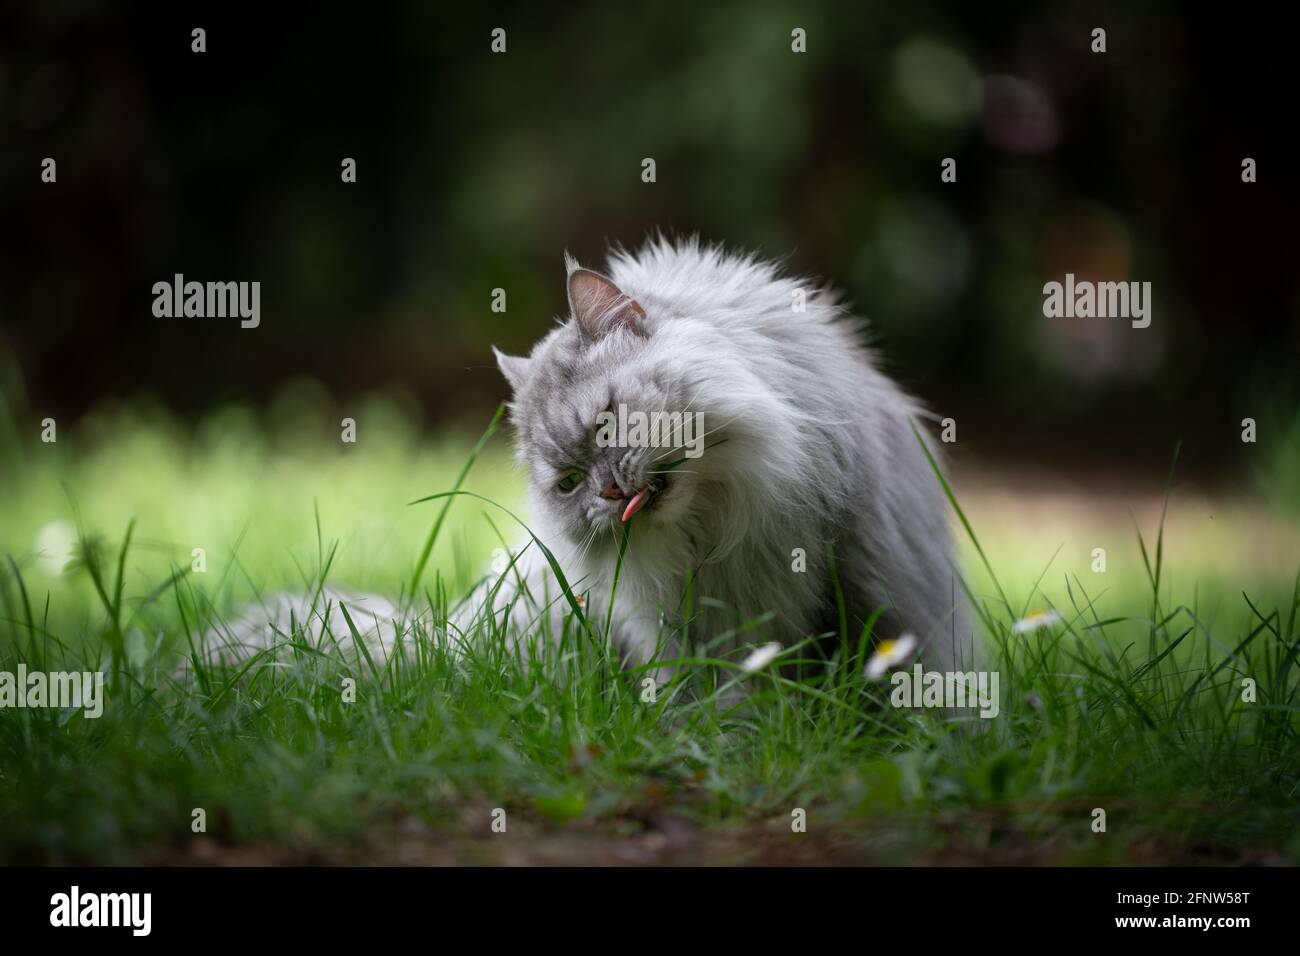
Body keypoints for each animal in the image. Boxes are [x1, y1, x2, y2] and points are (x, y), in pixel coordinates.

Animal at [202, 235, 972, 676]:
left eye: (605, 428)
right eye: (569, 483)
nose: (608, 494)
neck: (725, 526)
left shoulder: (874, 582)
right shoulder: (689, 633)